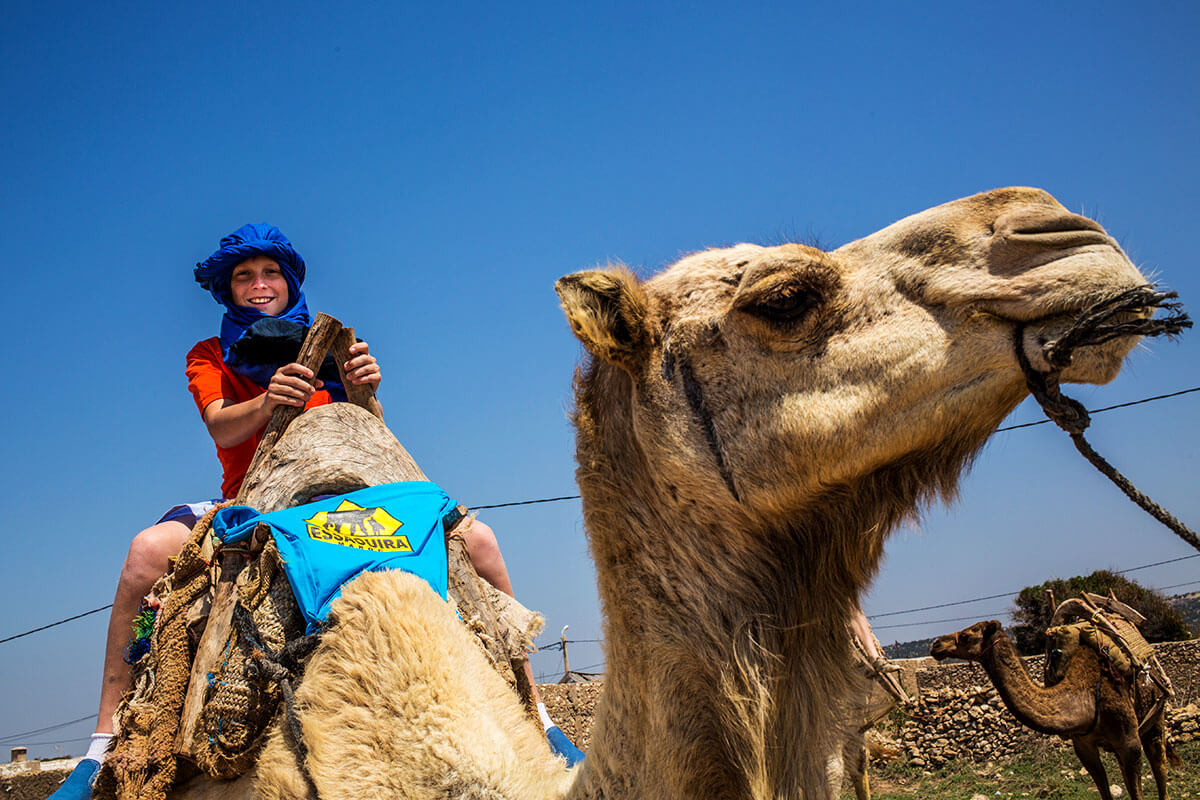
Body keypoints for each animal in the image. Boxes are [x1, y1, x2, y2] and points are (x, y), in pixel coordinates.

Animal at [931, 618, 1176, 800]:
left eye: (966, 635)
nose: (936, 644)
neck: (1085, 695)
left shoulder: (1129, 742)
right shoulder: (1083, 745)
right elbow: (1104, 791)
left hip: (1155, 717)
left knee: (1160, 768)